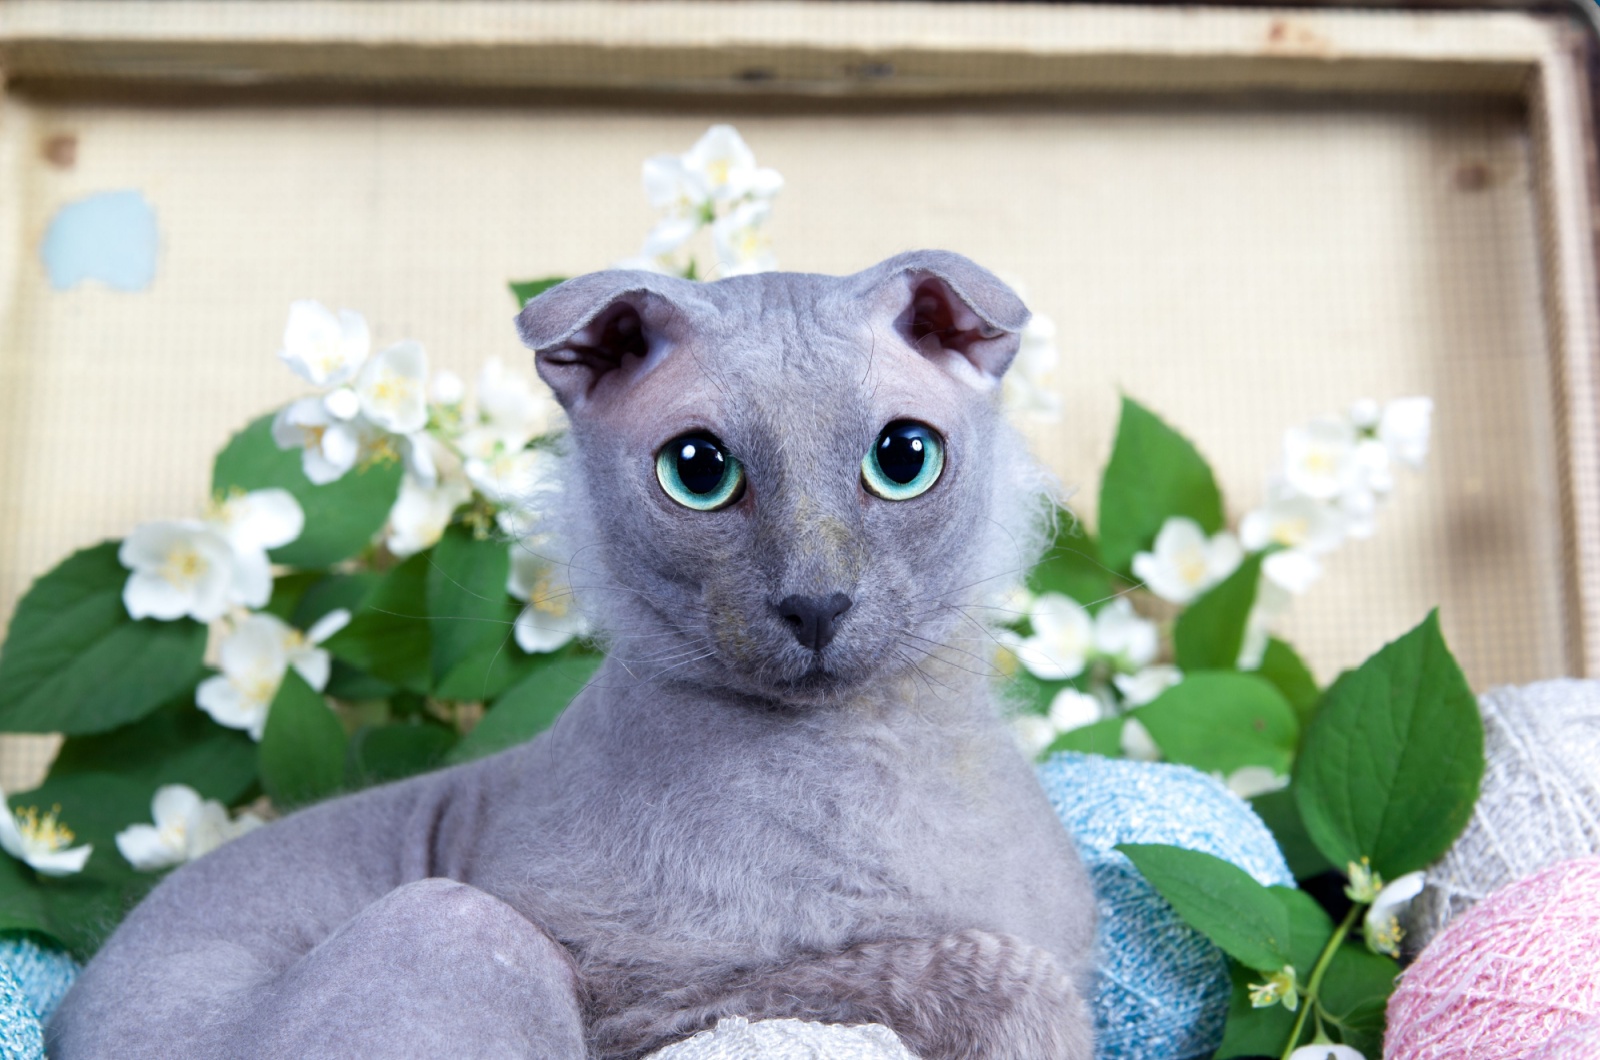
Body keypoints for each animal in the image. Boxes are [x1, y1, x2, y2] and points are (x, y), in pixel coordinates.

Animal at [50, 251, 1100, 1060]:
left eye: (904, 457)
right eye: (699, 472)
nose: (815, 602)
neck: (876, 750)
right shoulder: (644, 1006)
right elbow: (991, 968)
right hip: (457, 924)